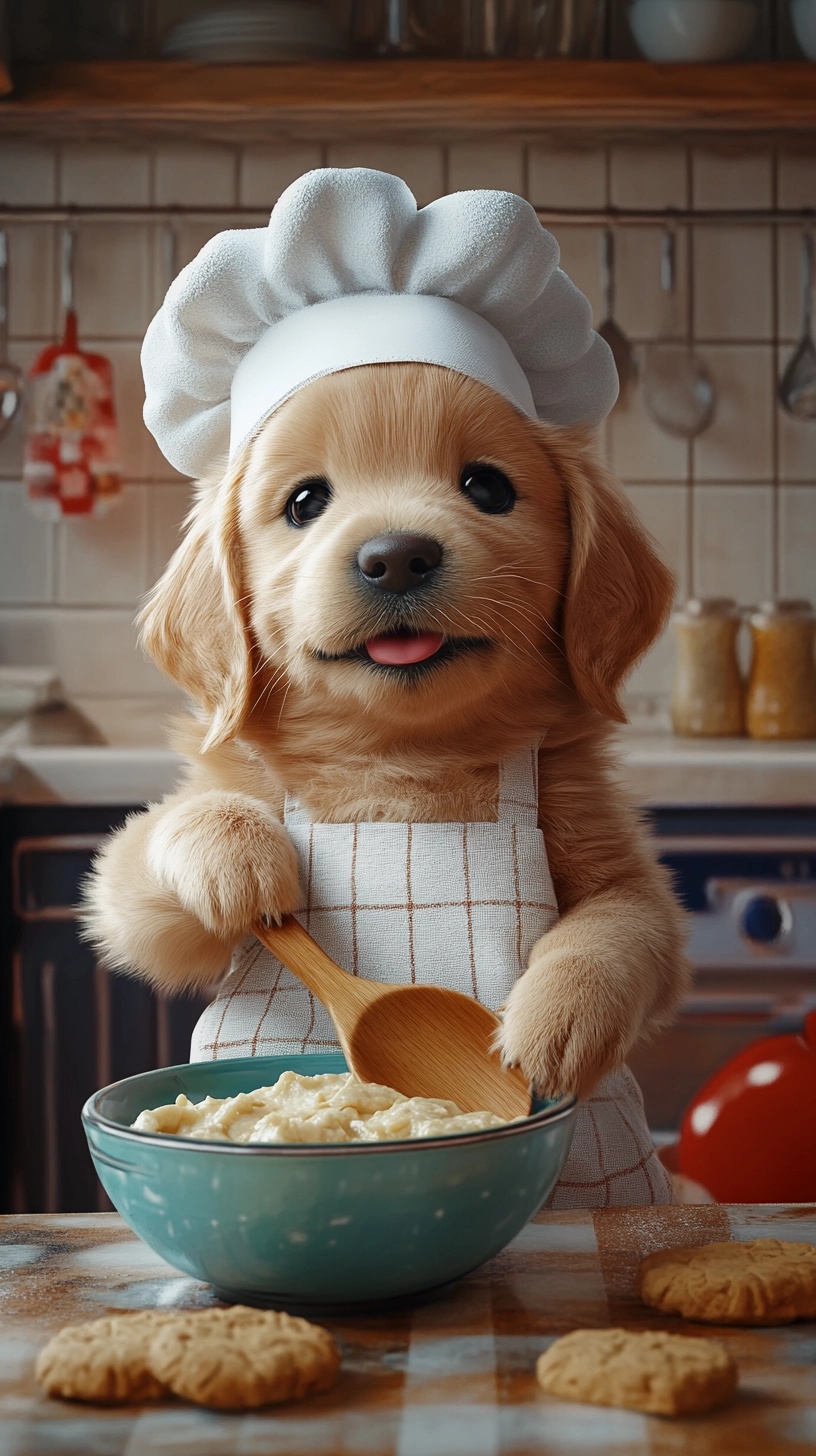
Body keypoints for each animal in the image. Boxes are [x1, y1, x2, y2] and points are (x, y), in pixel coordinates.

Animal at [85, 366, 687, 1100]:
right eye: (305, 502)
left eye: (487, 487)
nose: (397, 557)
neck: (400, 755)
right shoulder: (156, 915)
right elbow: (150, 848)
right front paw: (235, 854)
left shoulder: (622, 869)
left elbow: (621, 924)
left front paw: (559, 1018)